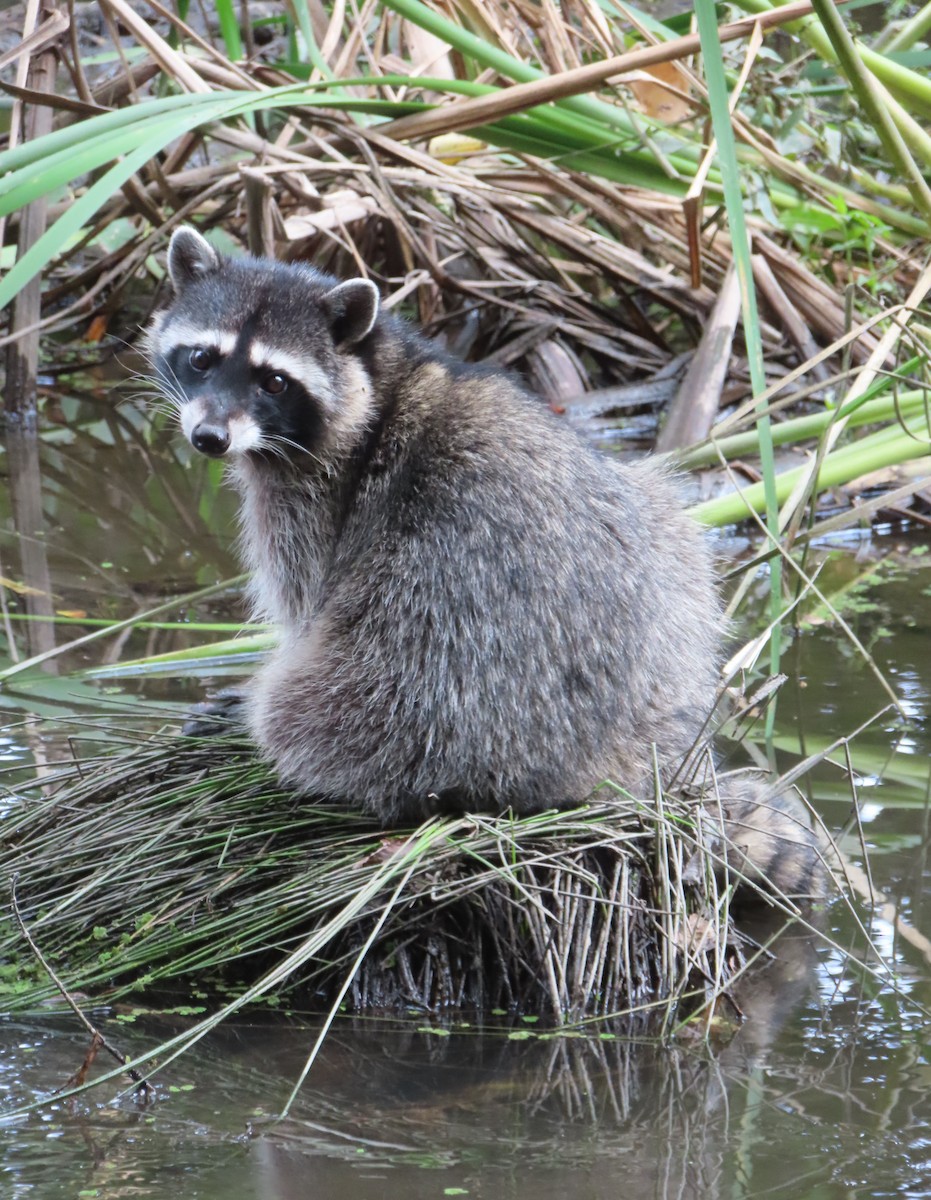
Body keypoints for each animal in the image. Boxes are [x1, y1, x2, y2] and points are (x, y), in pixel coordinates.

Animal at [146, 228, 826, 897]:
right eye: (202, 358)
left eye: (274, 381)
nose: (209, 438)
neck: (379, 370)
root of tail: (632, 759)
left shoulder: (319, 499)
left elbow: (307, 609)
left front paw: (249, 695)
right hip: (661, 559)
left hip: (452, 679)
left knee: (319, 708)